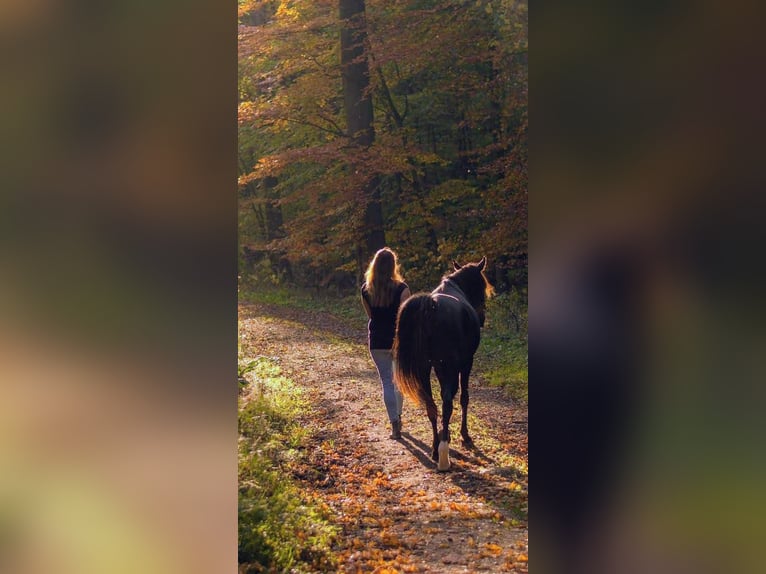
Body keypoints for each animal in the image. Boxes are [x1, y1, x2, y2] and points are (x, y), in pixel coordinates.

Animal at [392, 257, 494, 471]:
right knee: (447, 403)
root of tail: (431, 307)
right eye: (481, 285)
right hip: (449, 366)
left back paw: (434, 447)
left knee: (431, 406)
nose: (482, 318)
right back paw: (444, 451)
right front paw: (464, 436)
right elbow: (464, 398)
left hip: (424, 369)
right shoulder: (465, 363)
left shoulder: (438, 367)